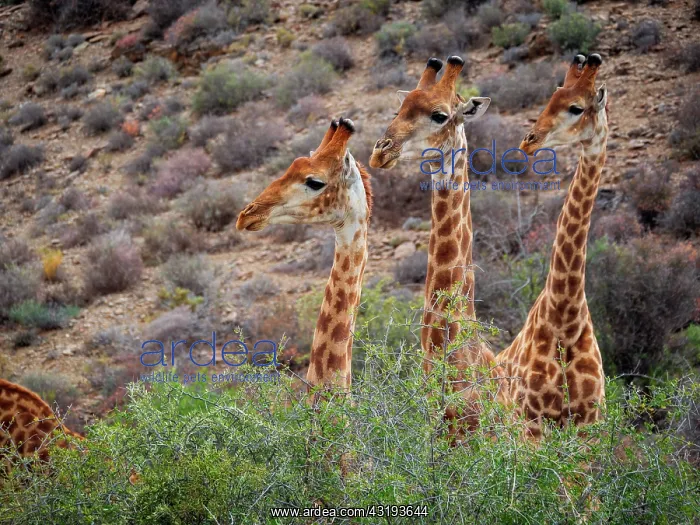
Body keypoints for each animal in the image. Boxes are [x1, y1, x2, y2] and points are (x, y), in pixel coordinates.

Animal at [495, 53, 609, 438]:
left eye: (576, 108)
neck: (565, 317)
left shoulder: (589, 426)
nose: (529, 140)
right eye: (552, 96)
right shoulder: (532, 423)